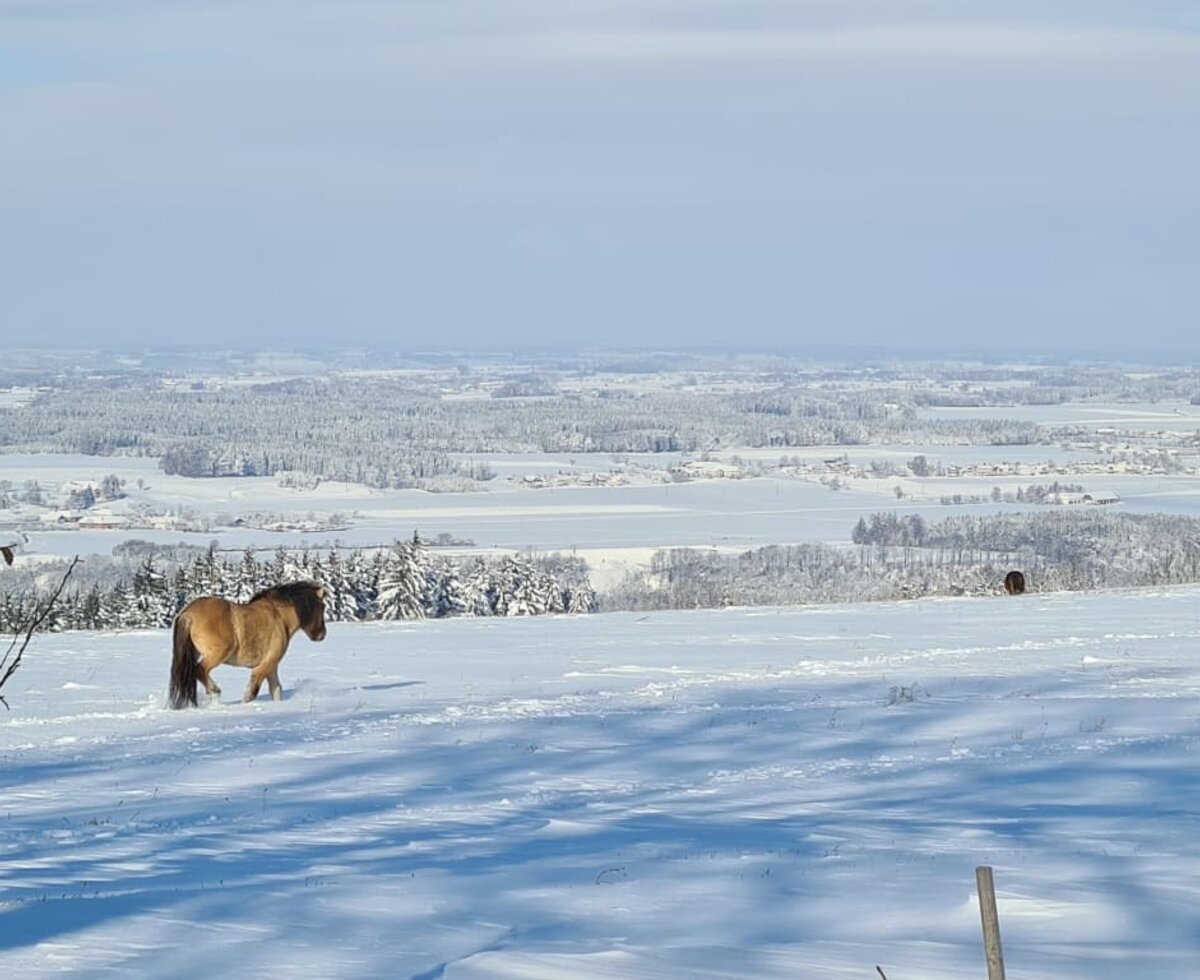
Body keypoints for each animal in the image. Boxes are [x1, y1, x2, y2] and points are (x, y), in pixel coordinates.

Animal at [169, 580, 326, 710]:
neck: (280, 618)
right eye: (322, 606)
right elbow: (252, 692)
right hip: (217, 654)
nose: (321, 635)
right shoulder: (265, 665)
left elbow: (276, 690)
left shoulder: (272, 666)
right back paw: (215, 691)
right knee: (199, 670)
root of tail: (187, 613)